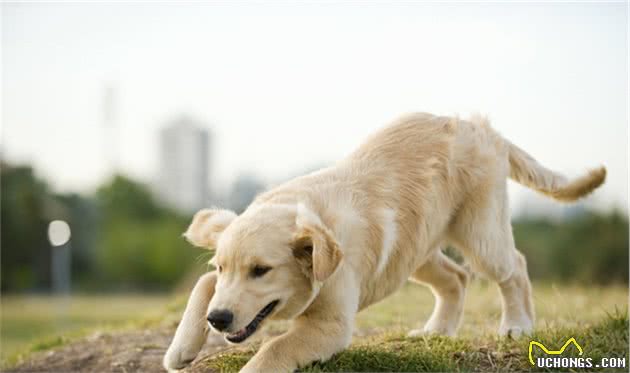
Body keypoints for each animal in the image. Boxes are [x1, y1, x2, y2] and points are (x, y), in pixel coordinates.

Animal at [163, 112, 608, 370]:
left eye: (261, 271)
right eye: (223, 267)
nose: (219, 320)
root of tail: (478, 125)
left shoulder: (330, 325)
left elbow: (274, 349)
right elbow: (202, 285)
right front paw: (181, 348)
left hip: (480, 233)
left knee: (514, 267)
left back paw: (517, 324)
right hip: (414, 252)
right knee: (457, 277)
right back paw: (435, 331)